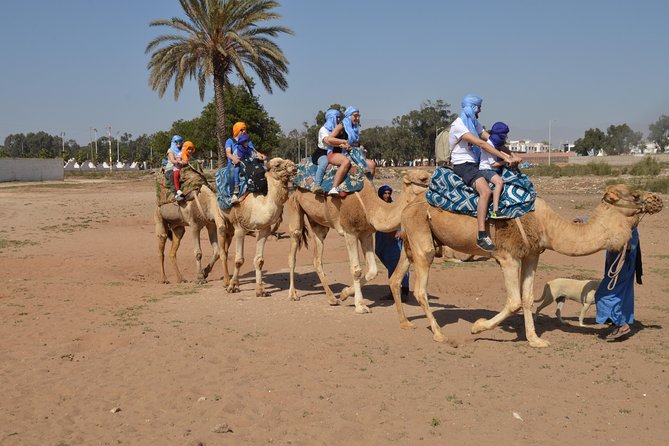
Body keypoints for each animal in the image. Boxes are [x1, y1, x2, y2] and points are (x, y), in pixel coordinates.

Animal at [214, 159, 298, 298]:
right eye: (277, 165)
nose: (294, 166)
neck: (259, 205)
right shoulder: (240, 229)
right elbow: (239, 260)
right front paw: (232, 287)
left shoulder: (264, 230)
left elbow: (259, 260)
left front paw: (260, 290)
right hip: (221, 219)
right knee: (223, 252)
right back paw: (226, 282)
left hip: (230, 229)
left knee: (225, 248)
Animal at [286, 170, 430, 314]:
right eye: (423, 178)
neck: (369, 207)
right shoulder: (349, 232)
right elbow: (356, 270)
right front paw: (360, 306)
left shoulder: (366, 234)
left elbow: (372, 271)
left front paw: (344, 294)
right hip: (294, 204)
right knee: (294, 247)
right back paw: (293, 294)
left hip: (318, 223)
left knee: (317, 258)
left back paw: (332, 299)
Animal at [386, 183, 664, 346]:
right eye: (635, 195)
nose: (658, 199)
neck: (546, 225)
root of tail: (407, 207)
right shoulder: (508, 256)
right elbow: (514, 301)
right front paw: (477, 327)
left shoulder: (532, 255)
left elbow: (528, 298)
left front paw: (535, 340)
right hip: (422, 240)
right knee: (421, 289)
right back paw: (440, 334)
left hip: (411, 241)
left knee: (396, 278)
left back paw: (405, 323)